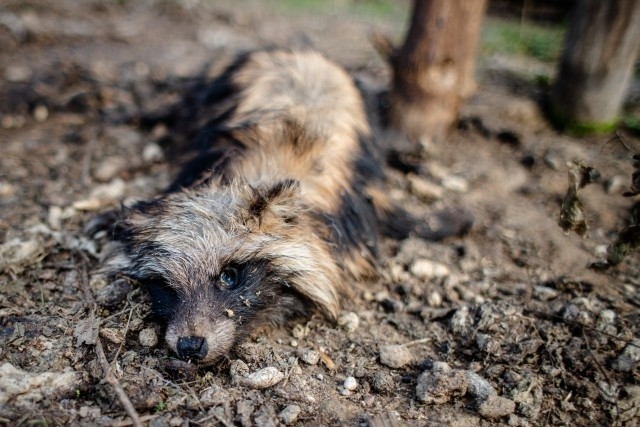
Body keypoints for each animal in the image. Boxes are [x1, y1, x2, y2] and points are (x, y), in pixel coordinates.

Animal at [90, 49, 470, 364]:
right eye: (165, 287)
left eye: (229, 276)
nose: (190, 346)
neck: (258, 172)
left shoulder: (362, 203)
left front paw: (446, 220)